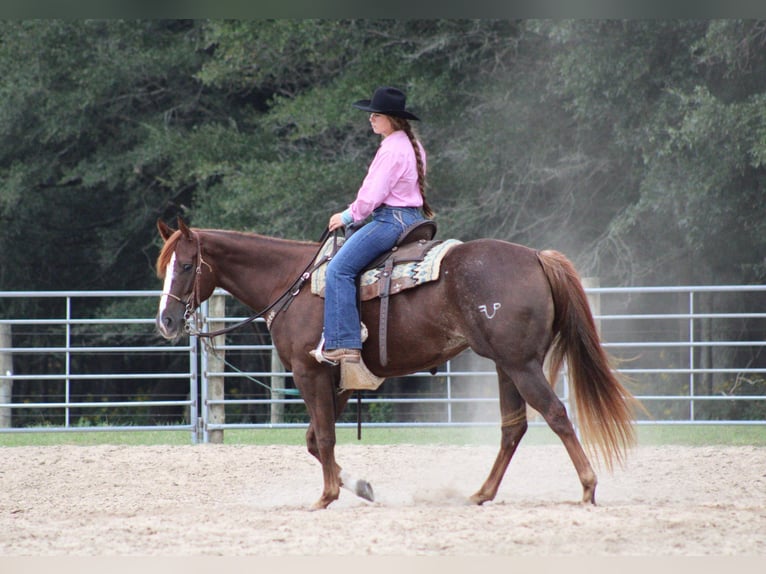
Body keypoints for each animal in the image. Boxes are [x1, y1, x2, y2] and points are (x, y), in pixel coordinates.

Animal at [154, 218, 640, 510]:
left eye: (187, 265)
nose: (166, 321)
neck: (292, 283)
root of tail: (537, 257)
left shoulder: (309, 373)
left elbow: (324, 438)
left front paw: (326, 497)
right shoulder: (339, 380)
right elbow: (315, 441)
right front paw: (359, 487)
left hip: (520, 364)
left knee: (555, 414)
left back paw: (588, 487)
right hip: (508, 365)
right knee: (513, 428)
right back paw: (481, 493)